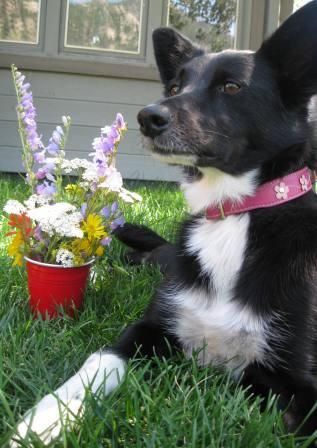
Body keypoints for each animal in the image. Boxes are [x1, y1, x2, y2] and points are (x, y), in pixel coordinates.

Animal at [9, 0, 317, 444]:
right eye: (174, 88)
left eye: (231, 87)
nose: (146, 117)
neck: (231, 212)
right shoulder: (147, 329)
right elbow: (97, 362)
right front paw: (45, 418)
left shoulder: (299, 382)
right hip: (162, 264)